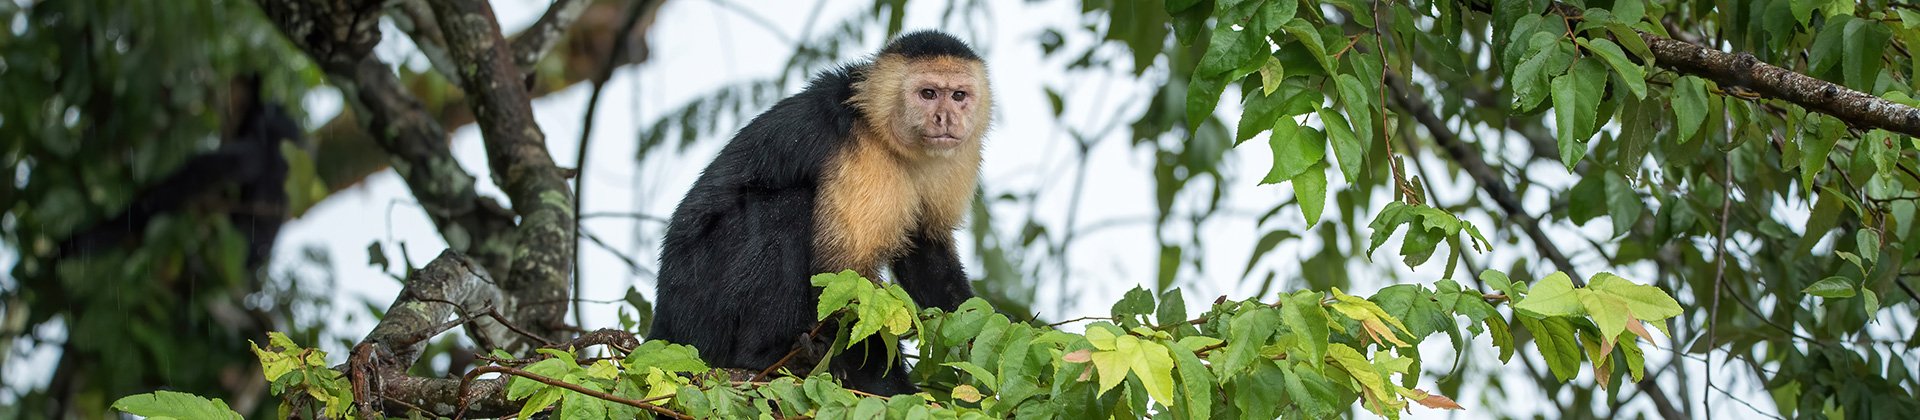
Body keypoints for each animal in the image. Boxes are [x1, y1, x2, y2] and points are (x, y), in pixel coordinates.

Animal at [656, 31, 998, 395]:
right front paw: (895, 391)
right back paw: (765, 356)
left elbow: (925, 248)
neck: (890, 139)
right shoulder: (863, 157)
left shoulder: (956, 157)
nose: (946, 118)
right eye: (928, 94)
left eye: (959, 95)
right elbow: (843, 277)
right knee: (784, 207)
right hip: (696, 302)